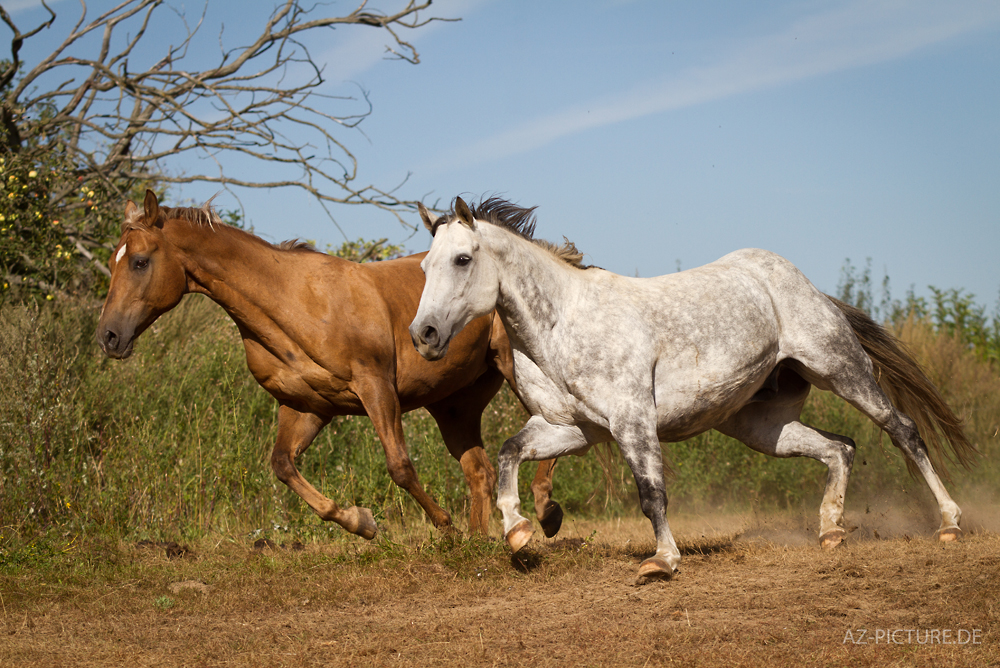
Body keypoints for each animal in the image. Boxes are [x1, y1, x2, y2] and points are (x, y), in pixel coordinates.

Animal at [97, 190, 564, 540]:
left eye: (140, 261)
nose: (109, 336)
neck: (295, 302)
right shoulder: (308, 406)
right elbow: (282, 465)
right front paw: (362, 522)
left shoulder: (376, 387)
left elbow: (399, 466)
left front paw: (444, 528)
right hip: (454, 404)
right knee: (479, 470)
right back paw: (482, 540)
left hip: (515, 369)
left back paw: (545, 511)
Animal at [406, 197, 968, 580]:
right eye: (424, 266)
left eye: (462, 259)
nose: (423, 335)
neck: (565, 324)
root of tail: (809, 288)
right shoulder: (574, 430)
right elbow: (508, 453)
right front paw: (519, 533)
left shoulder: (633, 422)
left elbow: (651, 493)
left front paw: (663, 561)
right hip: (760, 424)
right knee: (840, 448)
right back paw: (830, 531)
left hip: (843, 371)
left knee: (903, 431)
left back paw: (949, 524)